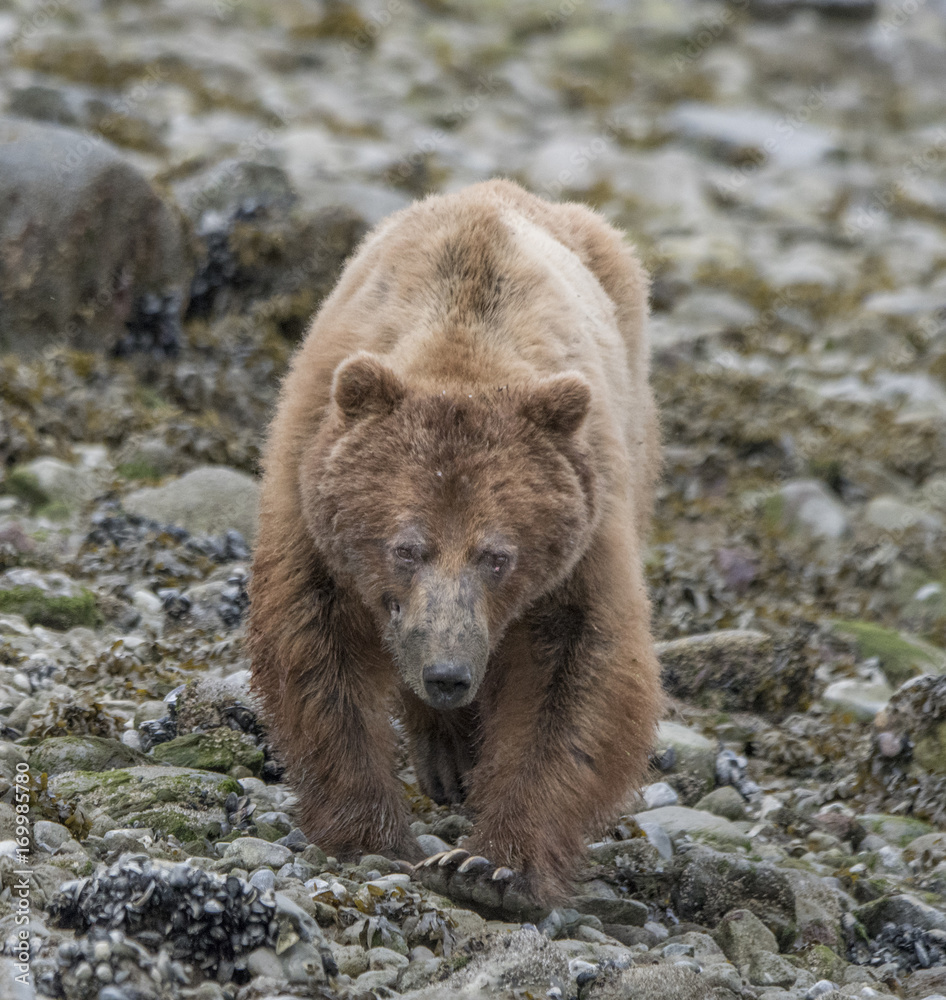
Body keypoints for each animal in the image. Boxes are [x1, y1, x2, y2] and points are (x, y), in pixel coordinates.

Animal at [248, 178, 664, 908]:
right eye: (404, 547)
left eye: (498, 556)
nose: (448, 673)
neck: (462, 352)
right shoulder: (311, 491)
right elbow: (316, 652)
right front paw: (374, 831)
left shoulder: (586, 536)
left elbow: (575, 676)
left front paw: (488, 865)